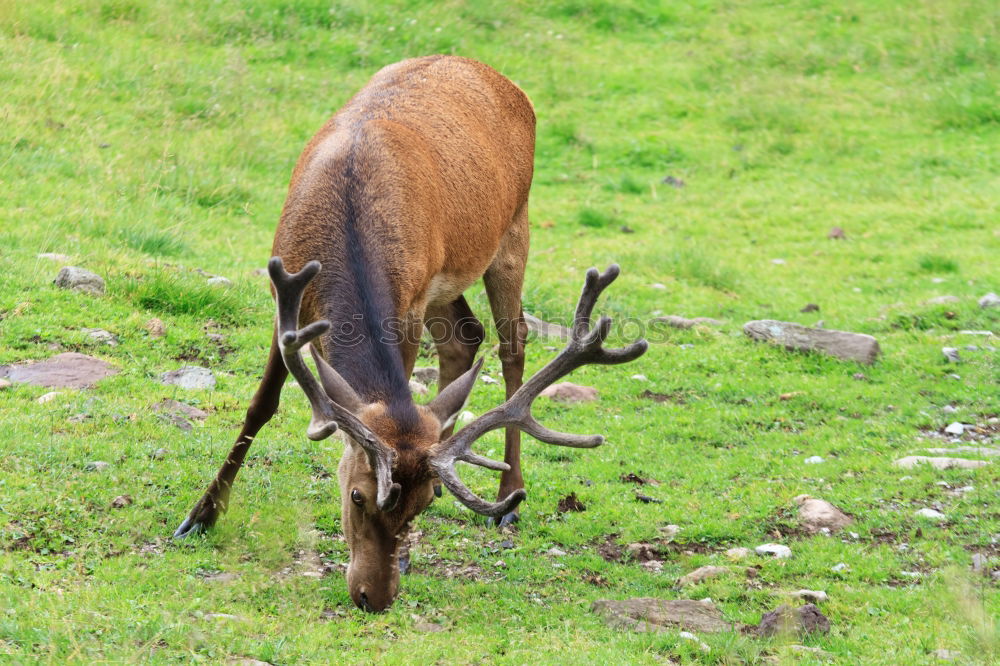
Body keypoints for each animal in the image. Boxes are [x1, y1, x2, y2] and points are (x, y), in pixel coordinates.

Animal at [174, 54, 648, 608]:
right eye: (357, 495)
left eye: (418, 506)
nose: (374, 597)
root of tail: (491, 72)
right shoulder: (284, 291)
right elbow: (262, 404)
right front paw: (200, 515)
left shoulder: (412, 300)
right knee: (466, 335)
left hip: (513, 230)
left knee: (512, 346)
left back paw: (509, 497)